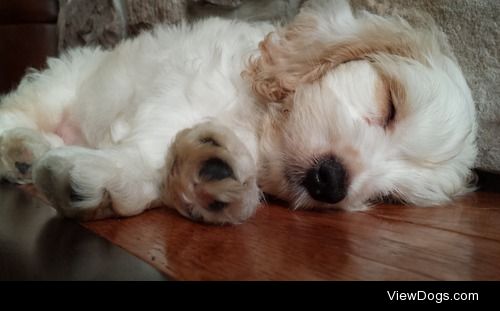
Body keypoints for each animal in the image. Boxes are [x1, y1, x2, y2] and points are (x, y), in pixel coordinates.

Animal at [0, 0, 476, 224]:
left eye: (390, 196)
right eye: (389, 104)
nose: (333, 182)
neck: (260, 126)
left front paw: (204, 175)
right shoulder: (181, 92)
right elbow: (151, 141)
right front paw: (110, 174)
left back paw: (25, 154)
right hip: (60, 85)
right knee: (18, 108)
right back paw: (18, 148)